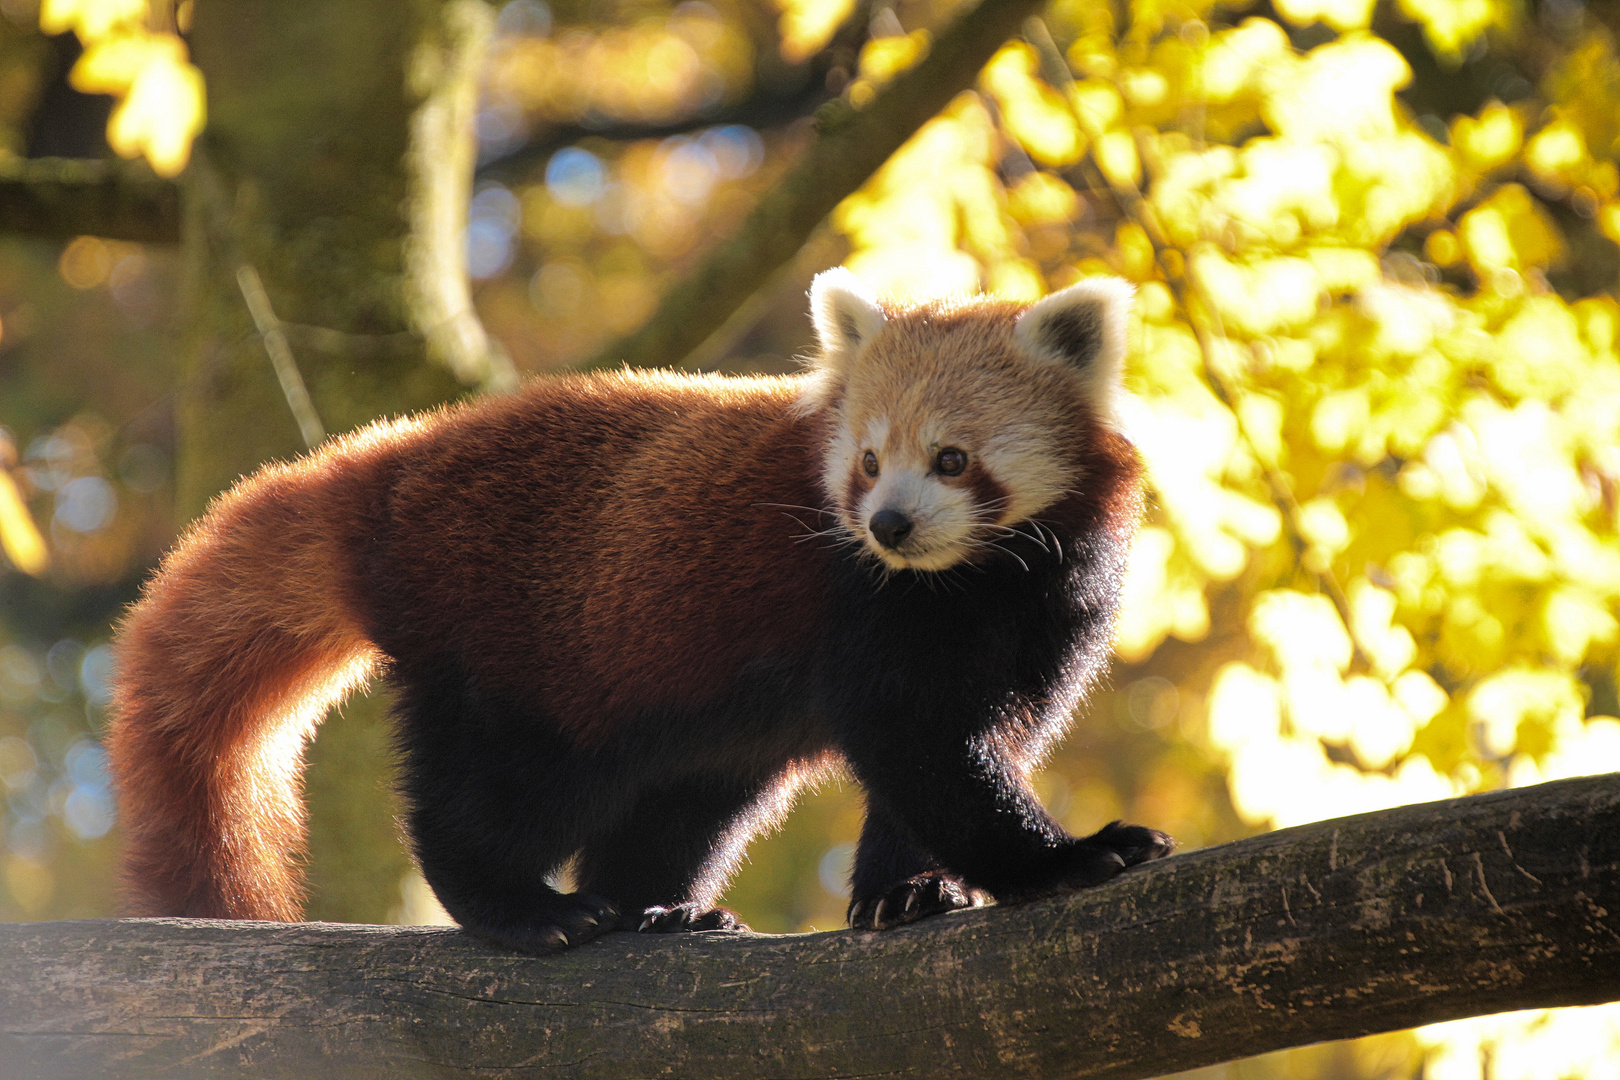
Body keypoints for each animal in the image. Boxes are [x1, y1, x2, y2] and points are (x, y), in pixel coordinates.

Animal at [104, 270, 1166, 952]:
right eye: (867, 461)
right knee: (490, 792)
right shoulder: (863, 602)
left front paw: (907, 891)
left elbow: (971, 745)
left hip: (683, 715)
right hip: (513, 644)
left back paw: (661, 906)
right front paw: (1070, 857)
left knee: (685, 803)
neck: (977, 579)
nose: (889, 525)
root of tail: (388, 467)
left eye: (952, 459)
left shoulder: (1054, 608)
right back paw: (527, 908)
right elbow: (918, 743)